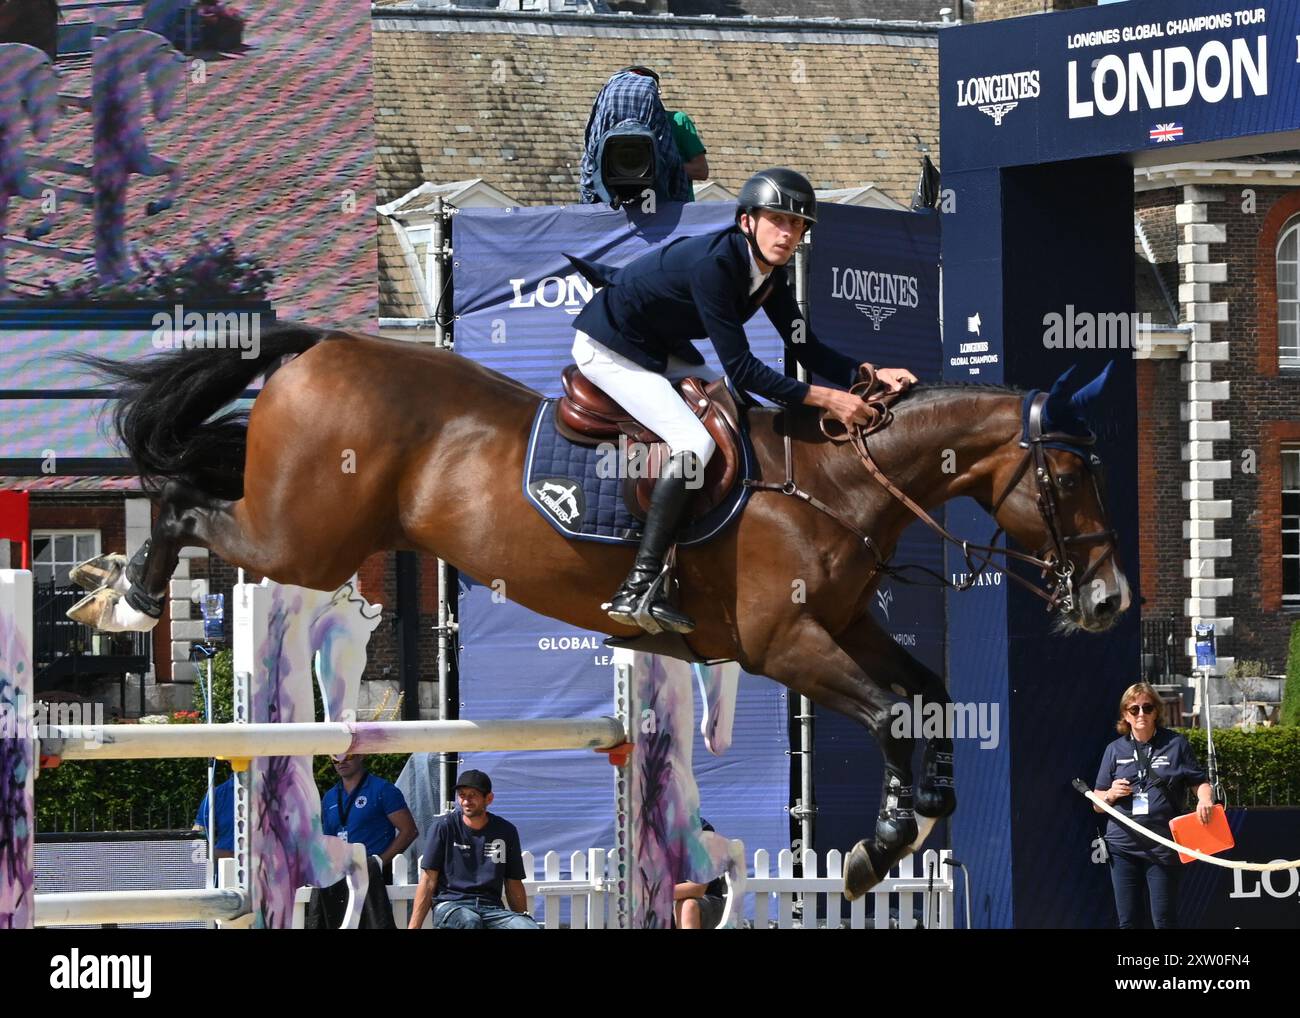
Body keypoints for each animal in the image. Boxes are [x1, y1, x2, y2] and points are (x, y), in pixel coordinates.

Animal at [71, 322, 1128, 894]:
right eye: (1070, 476)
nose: (1113, 600)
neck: (835, 479)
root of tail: (323, 345)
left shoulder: (843, 625)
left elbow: (926, 699)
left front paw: (903, 823)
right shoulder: (785, 644)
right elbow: (893, 710)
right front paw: (890, 838)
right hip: (304, 538)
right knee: (186, 501)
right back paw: (122, 599)